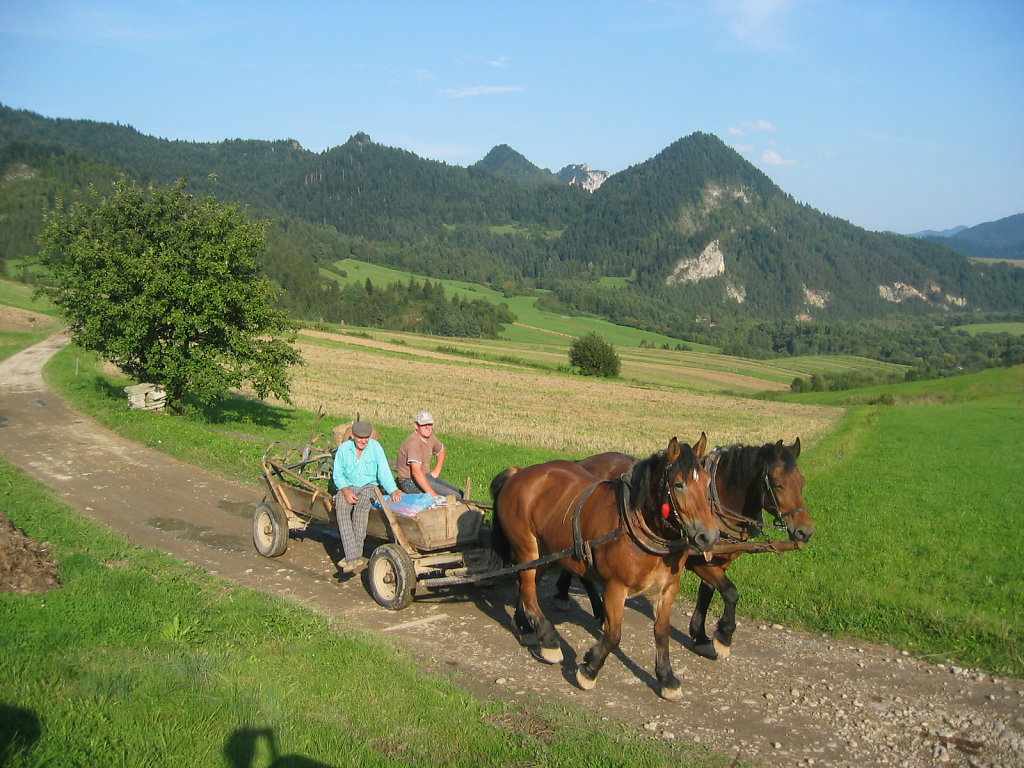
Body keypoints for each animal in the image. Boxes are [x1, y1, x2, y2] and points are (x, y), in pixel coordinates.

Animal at [489, 436, 716, 700]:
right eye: (678, 484)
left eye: (708, 482)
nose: (709, 537)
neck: (633, 525)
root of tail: (519, 473)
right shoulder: (615, 588)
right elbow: (613, 635)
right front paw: (589, 669)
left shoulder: (667, 590)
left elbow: (661, 633)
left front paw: (667, 678)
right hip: (527, 548)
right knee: (527, 587)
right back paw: (549, 640)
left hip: (545, 552)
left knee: (528, 587)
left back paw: (526, 626)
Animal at [557, 438, 811, 663]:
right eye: (777, 484)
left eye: (802, 482)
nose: (805, 532)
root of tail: (582, 462)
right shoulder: (699, 562)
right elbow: (731, 592)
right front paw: (723, 636)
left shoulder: (717, 561)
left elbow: (708, 593)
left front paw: (701, 637)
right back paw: (575, 601)